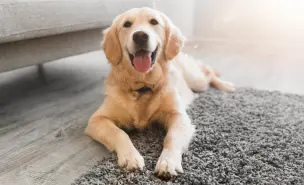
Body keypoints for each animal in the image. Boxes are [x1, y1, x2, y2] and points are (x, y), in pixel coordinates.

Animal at [85, 6, 235, 178]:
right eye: (127, 24)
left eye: (154, 22)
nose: (140, 36)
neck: (143, 86)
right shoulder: (97, 119)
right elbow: (119, 133)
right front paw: (131, 157)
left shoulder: (178, 116)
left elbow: (172, 137)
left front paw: (168, 162)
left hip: (197, 80)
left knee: (209, 73)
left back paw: (226, 85)